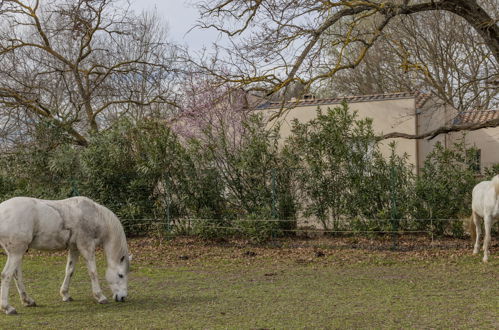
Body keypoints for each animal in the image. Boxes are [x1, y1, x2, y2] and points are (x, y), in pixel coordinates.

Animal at [0, 196, 131, 314]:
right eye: (120, 275)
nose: (123, 297)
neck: (95, 215)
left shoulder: (74, 248)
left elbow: (70, 270)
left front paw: (65, 294)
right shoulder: (86, 246)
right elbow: (93, 272)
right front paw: (100, 296)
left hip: (17, 253)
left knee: (16, 275)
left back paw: (27, 301)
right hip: (16, 253)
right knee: (6, 275)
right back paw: (8, 308)